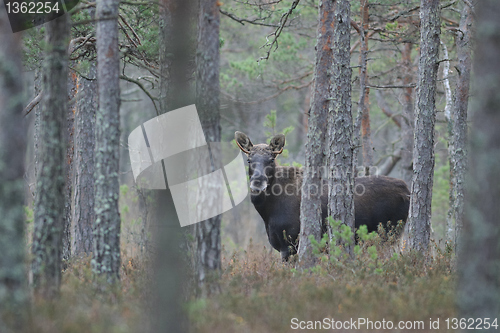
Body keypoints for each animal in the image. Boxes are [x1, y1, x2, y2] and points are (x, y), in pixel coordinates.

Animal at [234, 131, 410, 260]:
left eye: (271, 159)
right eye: (249, 160)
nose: (257, 182)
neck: (267, 212)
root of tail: (407, 191)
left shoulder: (290, 245)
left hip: (389, 235)